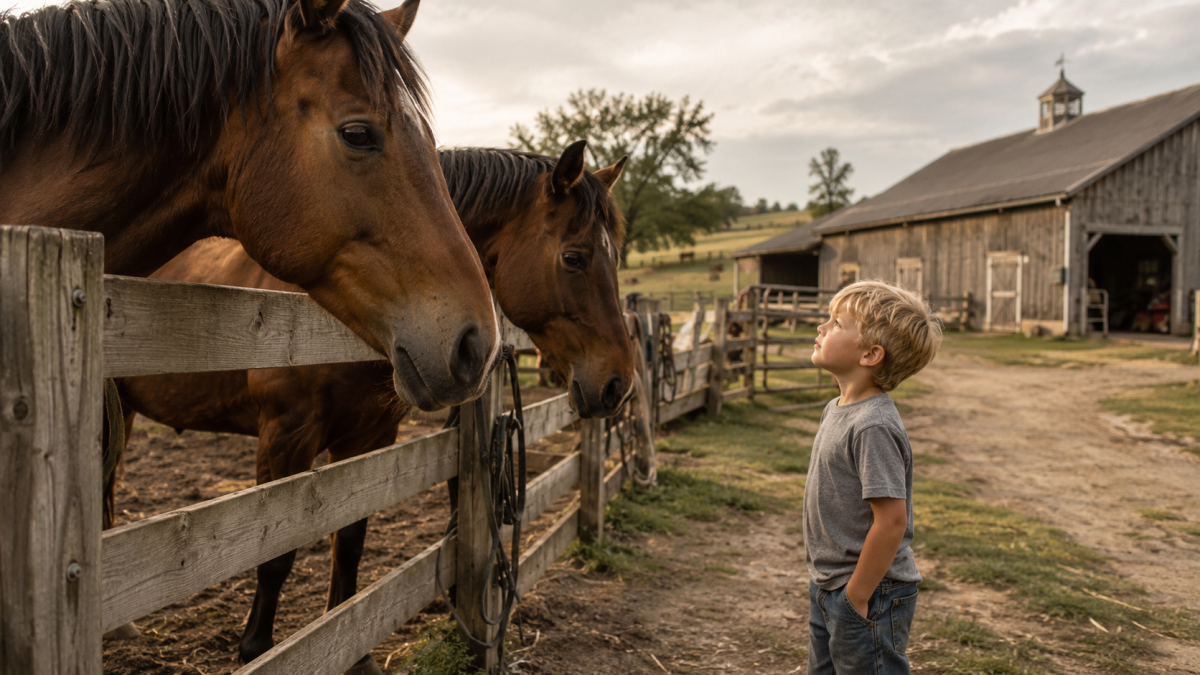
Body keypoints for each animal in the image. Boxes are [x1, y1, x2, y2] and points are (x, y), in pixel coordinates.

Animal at [115, 142, 635, 673]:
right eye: (574, 257)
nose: (618, 383)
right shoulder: (285, 434)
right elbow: (277, 550)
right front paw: (257, 648)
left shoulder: (368, 436)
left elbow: (349, 541)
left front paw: (353, 649)